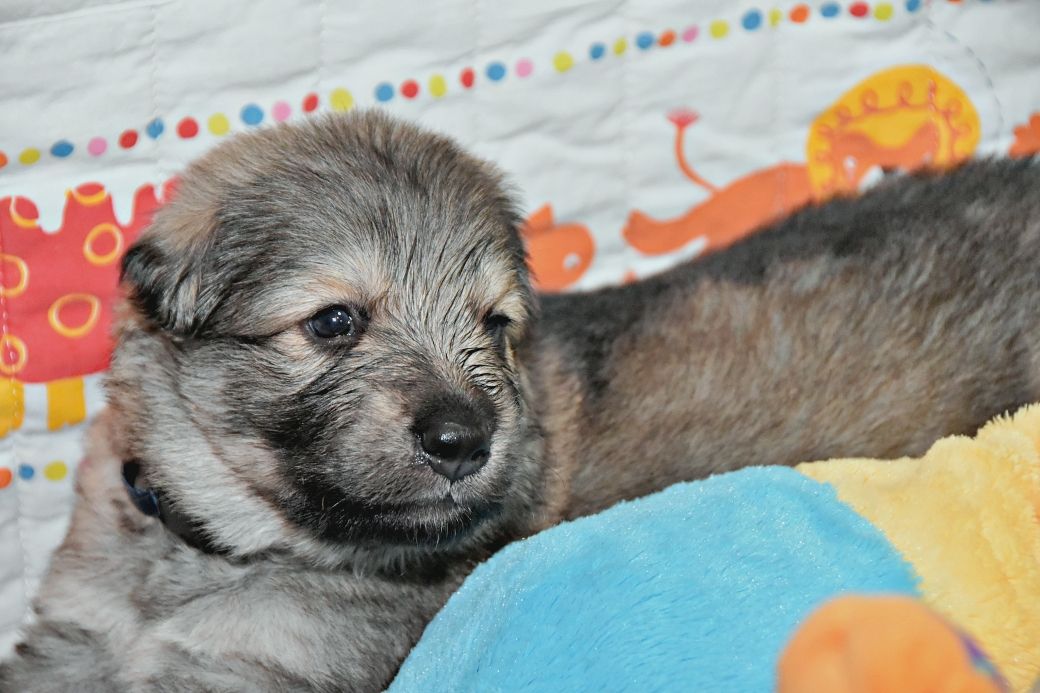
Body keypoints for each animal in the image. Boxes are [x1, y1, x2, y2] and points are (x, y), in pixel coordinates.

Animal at [2, 110, 1038, 692]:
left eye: (494, 323)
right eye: (333, 322)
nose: (465, 437)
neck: (218, 548)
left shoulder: (266, 667)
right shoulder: (75, 634)